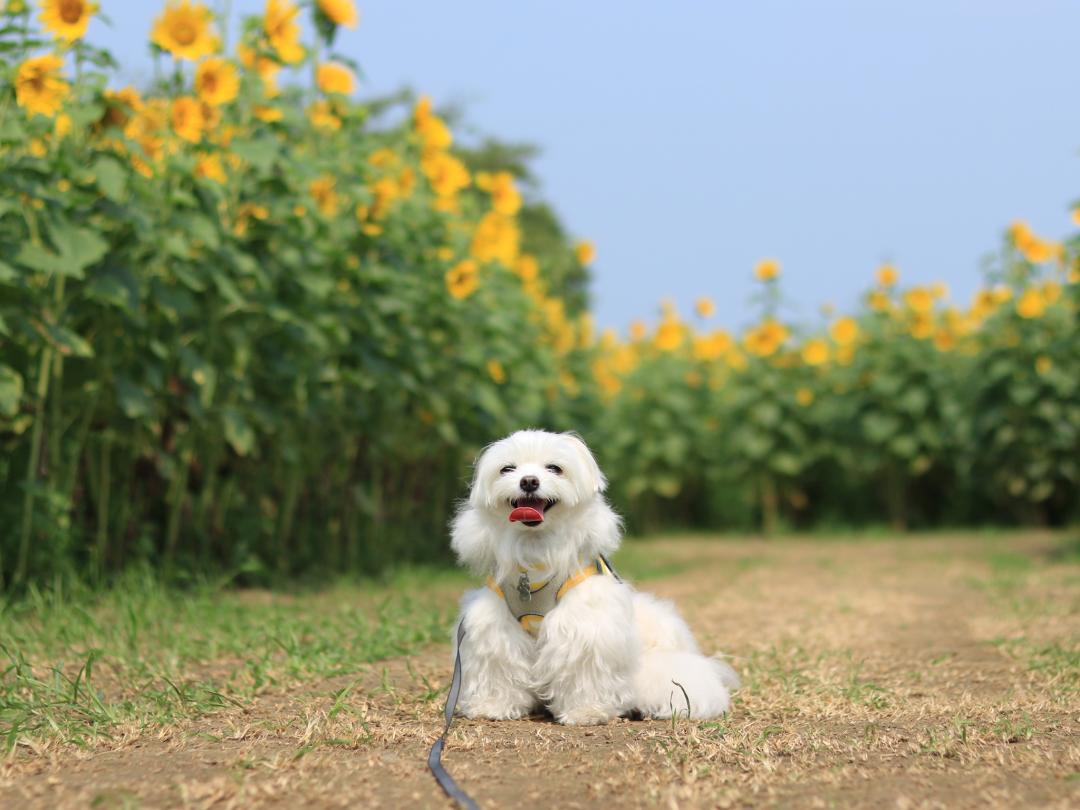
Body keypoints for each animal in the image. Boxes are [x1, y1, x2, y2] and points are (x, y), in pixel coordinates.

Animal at [449, 432, 743, 730]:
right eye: (507, 469)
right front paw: (493, 705)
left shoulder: (585, 626)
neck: (536, 548)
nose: (529, 481)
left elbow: (583, 668)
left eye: (554, 468)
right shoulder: (496, 626)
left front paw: (585, 712)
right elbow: (499, 662)